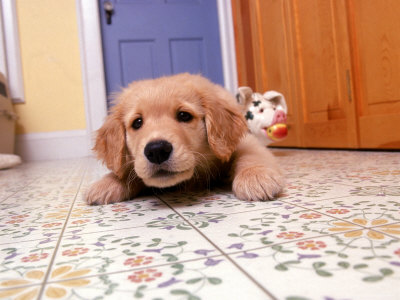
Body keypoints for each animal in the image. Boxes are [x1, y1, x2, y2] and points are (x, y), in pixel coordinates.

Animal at [86, 73, 284, 204]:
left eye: (184, 115)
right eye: (137, 123)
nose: (157, 151)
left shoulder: (244, 141)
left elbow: (250, 155)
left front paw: (255, 177)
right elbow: (128, 171)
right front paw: (108, 183)